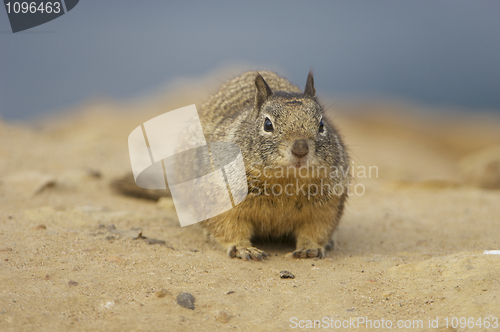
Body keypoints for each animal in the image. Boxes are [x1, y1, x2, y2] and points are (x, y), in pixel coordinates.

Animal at [112, 71, 352, 260]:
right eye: (267, 124)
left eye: (321, 125)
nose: (301, 149)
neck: (285, 182)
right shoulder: (221, 198)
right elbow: (229, 228)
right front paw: (244, 249)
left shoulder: (326, 207)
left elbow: (316, 230)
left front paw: (311, 248)